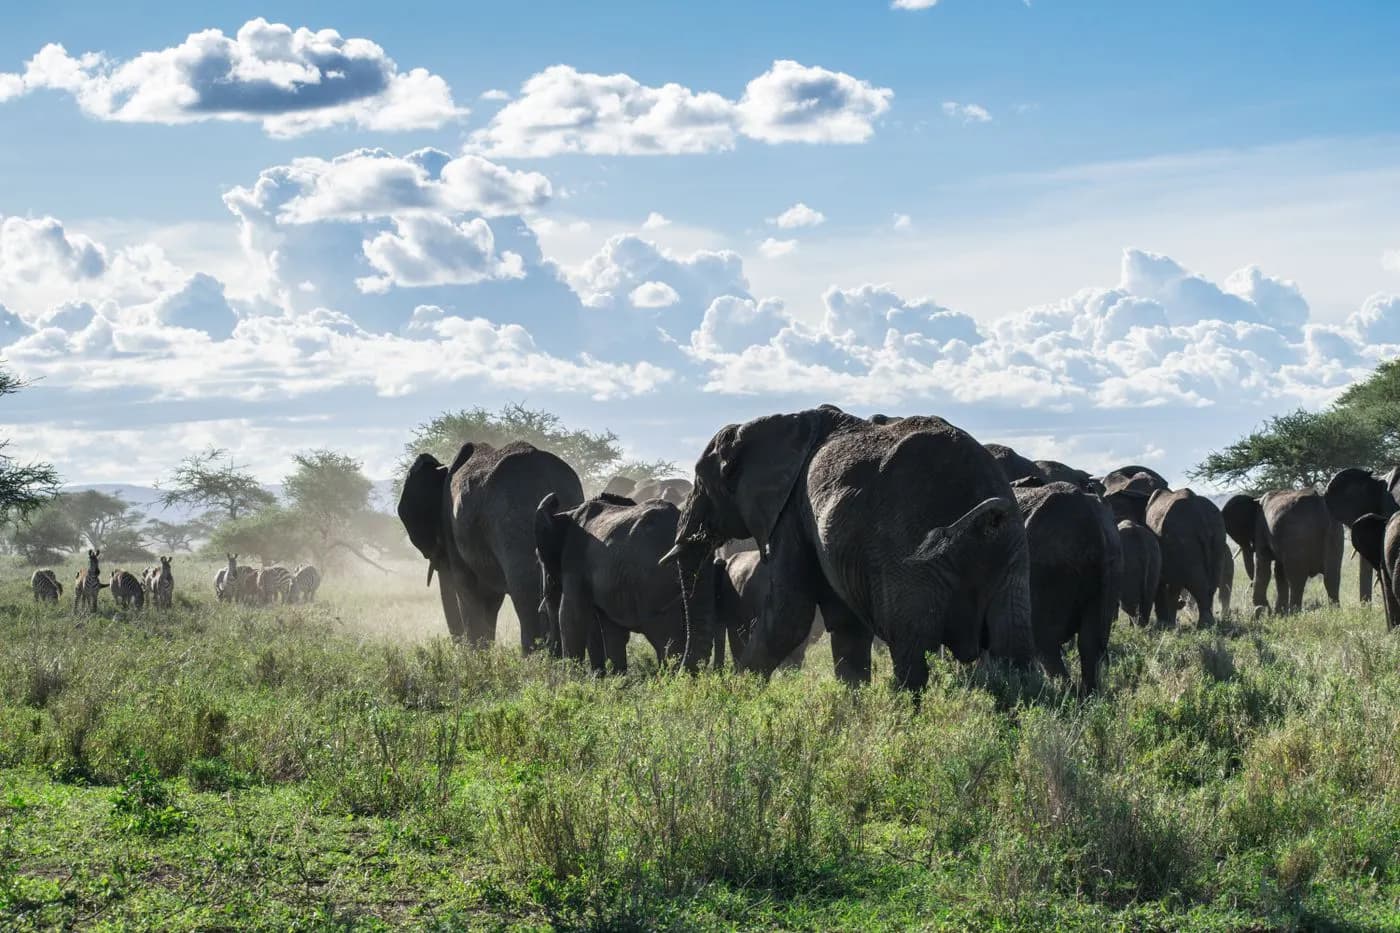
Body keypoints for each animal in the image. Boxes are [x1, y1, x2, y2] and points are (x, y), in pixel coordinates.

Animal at [398, 441, 584, 650]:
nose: (457, 647)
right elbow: (490, 599)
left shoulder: (451, 528)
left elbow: (467, 588)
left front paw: (477, 654)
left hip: (512, 520)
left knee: (524, 592)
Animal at [534, 492, 713, 673]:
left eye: (541, 564)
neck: (568, 513)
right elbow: (612, 630)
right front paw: (617, 677)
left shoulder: (574, 560)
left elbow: (571, 616)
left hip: (653, 585)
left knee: (667, 639)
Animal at [663, 405, 1035, 691]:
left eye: (700, 481)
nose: (680, 680)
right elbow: (846, 626)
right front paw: (851, 706)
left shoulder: (790, 513)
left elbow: (789, 616)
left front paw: (734, 697)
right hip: (1011, 557)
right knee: (1014, 656)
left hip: (909, 560)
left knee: (912, 655)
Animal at [1014, 482, 1122, 692]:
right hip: (1112, 564)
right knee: (1090, 644)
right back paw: (1089, 695)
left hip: (1046, 568)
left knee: (1045, 643)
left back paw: (1063, 692)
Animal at [1146, 488, 1229, 627]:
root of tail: (1200, 516)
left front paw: (1166, 625)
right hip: (1219, 535)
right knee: (1212, 581)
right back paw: (1208, 624)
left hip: (1183, 538)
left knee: (1196, 581)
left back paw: (1204, 625)